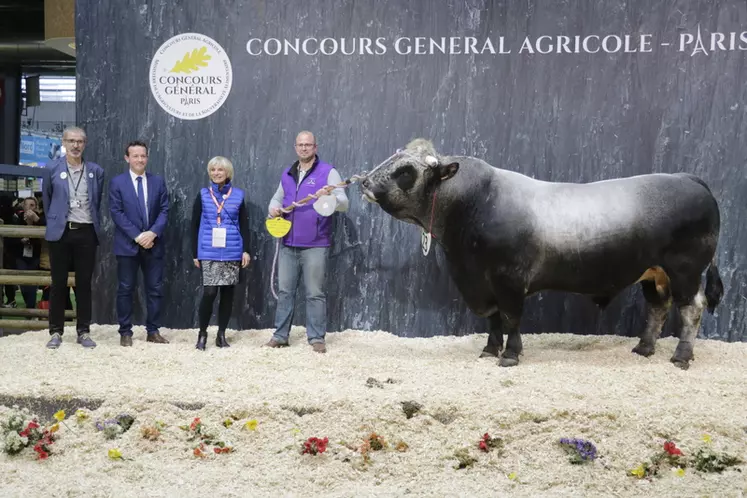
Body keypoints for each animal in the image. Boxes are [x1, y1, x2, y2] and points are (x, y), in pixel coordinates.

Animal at [362, 138, 724, 368]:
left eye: (405, 171)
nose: (364, 182)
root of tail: (688, 178)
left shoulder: (508, 279)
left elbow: (510, 317)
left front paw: (510, 355)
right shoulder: (481, 283)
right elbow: (493, 318)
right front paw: (489, 350)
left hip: (685, 270)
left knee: (692, 309)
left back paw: (681, 357)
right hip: (653, 273)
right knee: (658, 308)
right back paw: (644, 348)